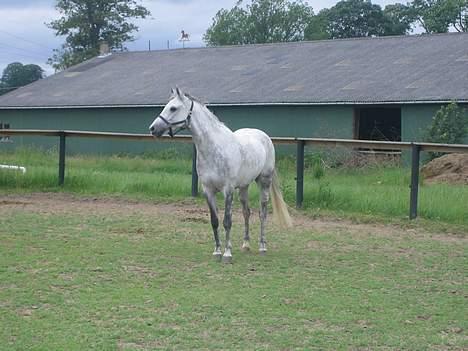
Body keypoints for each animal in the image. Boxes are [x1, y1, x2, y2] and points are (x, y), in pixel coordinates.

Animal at [150, 88, 290, 264]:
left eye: (173, 108)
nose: (153, 129)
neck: (214, 149)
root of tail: (264, 137)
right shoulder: (208, 191)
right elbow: (215, 221)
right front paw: (217, 251)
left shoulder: (228, 190)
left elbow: (227, 222)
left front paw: (227, 254)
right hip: (243, 186)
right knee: (246, 212)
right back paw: (246, 245)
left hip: (264, 182)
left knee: (262, 213)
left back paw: (262, 246)